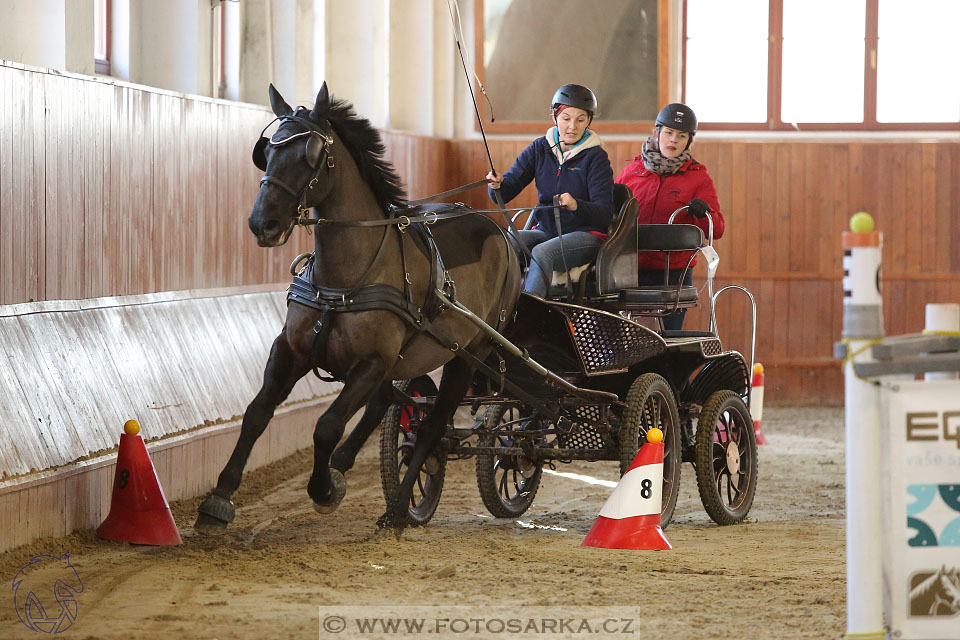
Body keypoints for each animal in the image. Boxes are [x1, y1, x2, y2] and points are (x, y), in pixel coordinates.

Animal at [195, 84, 520, 536]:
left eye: (310, 154)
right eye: (267, 151)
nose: (263, 224)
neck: (344, 280)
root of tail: (500, 231)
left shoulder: (371, 362)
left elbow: (326, 425)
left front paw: (323, 489)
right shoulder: (291, 350)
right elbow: (257, 412)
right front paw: (219, 499)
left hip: (470, 354)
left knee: (432, 425)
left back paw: (397, 506)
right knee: (389, 404)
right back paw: (349, 466)